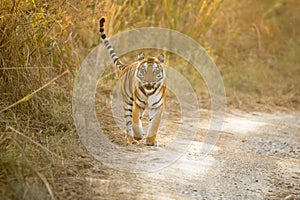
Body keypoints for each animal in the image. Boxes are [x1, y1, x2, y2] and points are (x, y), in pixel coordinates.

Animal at [100, 18, 166, 146]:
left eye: (155, 71)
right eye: (144, 70)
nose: (148, 82)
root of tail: (126, 66)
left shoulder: (158, 106)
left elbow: (154, 124)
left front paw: (151, 141)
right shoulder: (137, 104)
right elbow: (135, 121)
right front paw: (139, 136)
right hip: (128, 101)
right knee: (129, 121)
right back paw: (131, 139)